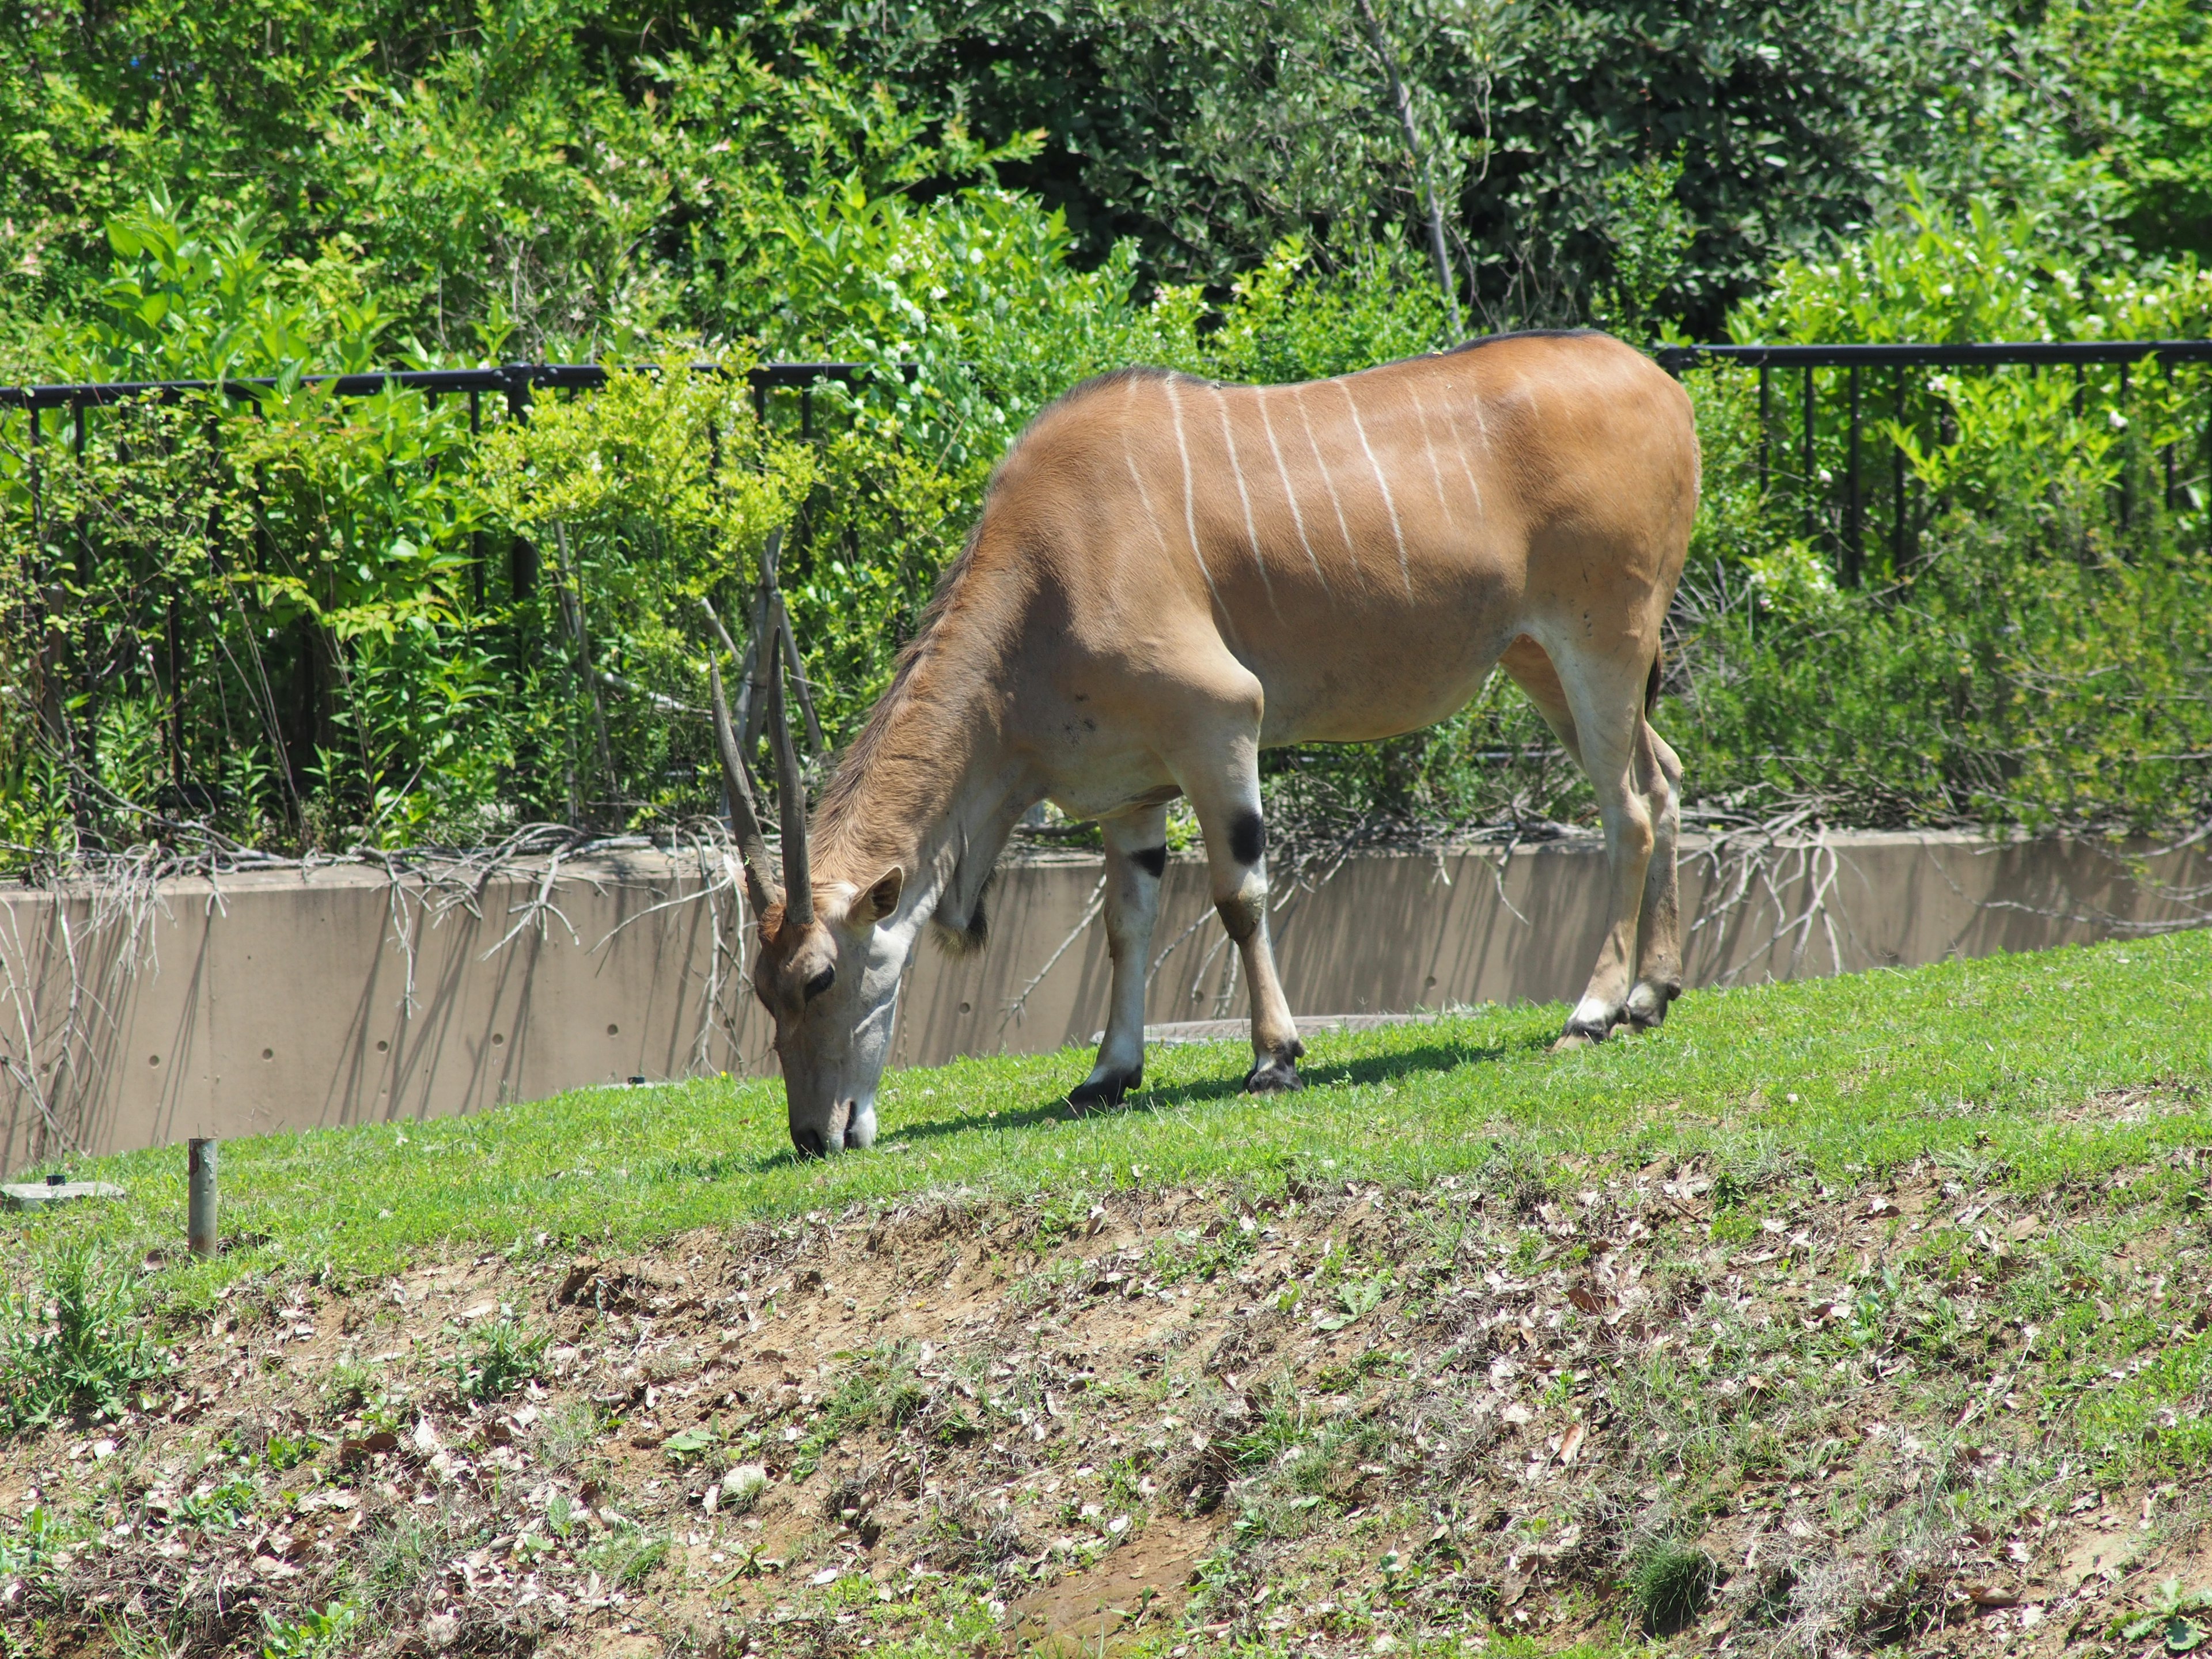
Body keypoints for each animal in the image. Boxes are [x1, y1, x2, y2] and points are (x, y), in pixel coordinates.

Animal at [707, 325, 1690, 1159]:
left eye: (819, 979)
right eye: (760, 986)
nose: (816, 1134)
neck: (1048, 564)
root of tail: (1661, 384)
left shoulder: (1219, 724)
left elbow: (1238, 896)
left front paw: (1274, 1059)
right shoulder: (1134, 789)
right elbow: (1125, 922)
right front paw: (1108, 1074)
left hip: (1601, 645)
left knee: (1628, 811)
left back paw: (1592, 1010)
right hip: (1540, 660)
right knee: (1667, 780)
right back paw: (1652, 996)